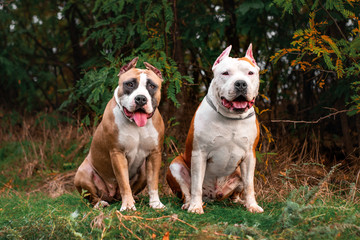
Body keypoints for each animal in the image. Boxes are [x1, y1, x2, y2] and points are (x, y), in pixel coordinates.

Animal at [76, 57, 167, 211]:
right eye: (129, 84)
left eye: (151, 86)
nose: (141, 98)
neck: (136, 125)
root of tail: (112, 195)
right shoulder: (117, 153)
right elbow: (124, 183)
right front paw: (128, 206)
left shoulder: (155, 154)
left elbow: (153, 182)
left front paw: (156, 203)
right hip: (83, 173)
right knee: (92, 196)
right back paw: (100, 203)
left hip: (143, 170)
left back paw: (136, 198)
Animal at [167, 44, 264, 214]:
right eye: (225, 73)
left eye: (250, 73)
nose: (240, 83)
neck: (231, 118)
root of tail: (213, 195)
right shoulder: (199, 153)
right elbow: (196, 185)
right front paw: (195, 207)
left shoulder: (249, 156)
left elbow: (249, 185)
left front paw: (252, 205)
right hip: (175, 165)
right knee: (187, 191)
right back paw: (189, 203)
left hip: (238, 172)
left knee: (238, 191)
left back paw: (240, 202)